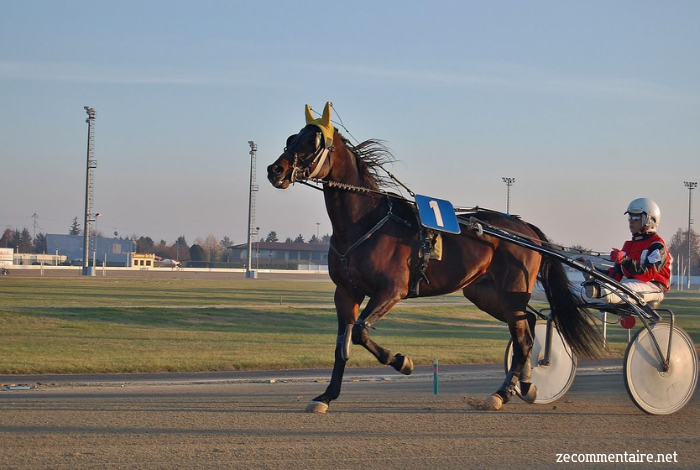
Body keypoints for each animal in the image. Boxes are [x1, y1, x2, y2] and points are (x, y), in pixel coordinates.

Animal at [266, 103, 600, 412]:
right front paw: (325, 396)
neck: (364, 221)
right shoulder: (346, 292)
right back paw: (526, 385)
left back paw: (503, 393)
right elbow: (342, 345)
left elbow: (359, 331)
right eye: (292, 137)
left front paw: (402, 361)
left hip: (512, 290)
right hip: (485, 293)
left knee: (523, 338)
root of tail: (525, 227)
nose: (274, 170)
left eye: (313, 142)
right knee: (527, 324)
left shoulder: (392, 290)